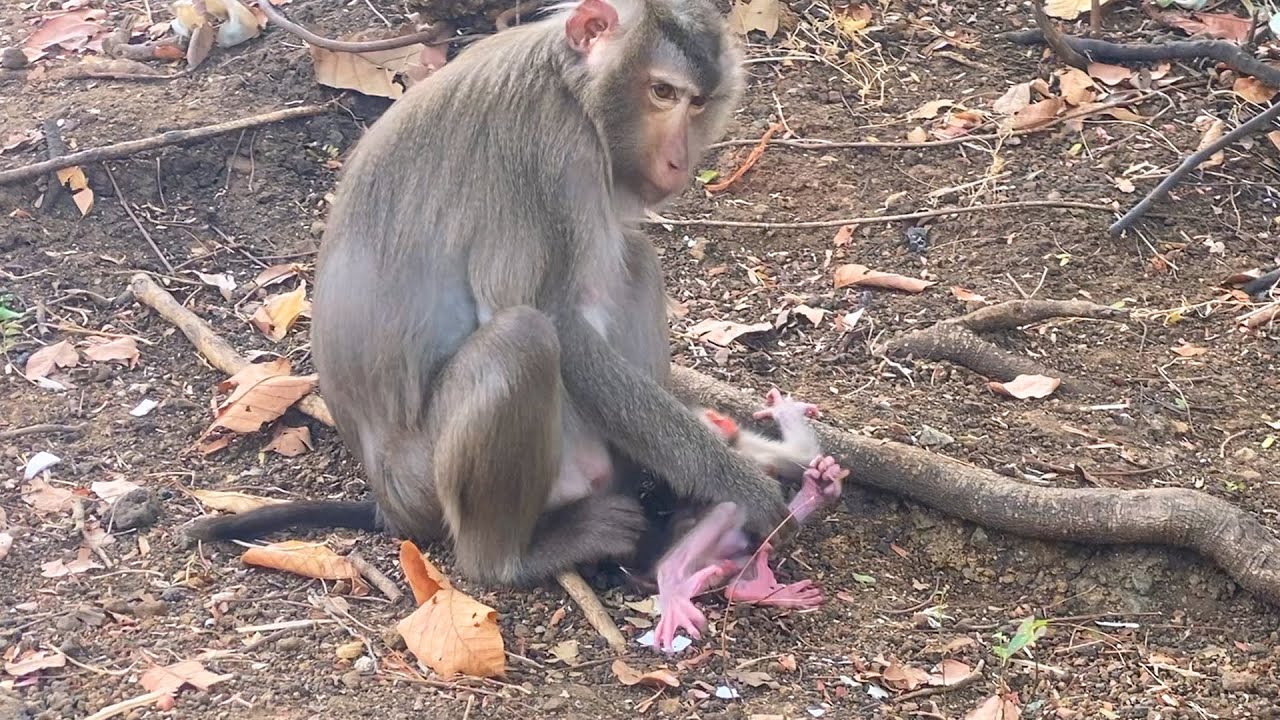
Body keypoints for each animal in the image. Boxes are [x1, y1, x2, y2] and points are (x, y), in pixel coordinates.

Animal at [186, 0, 795, 589]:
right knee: (521, 339)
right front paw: (741, 486)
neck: (570, 83)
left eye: (699, 104)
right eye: (662, 92)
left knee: (635, 261)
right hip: (432, 480)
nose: (678, 161)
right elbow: (554, 321)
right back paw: (510, 560)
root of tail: (390, 505)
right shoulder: (552, 152)